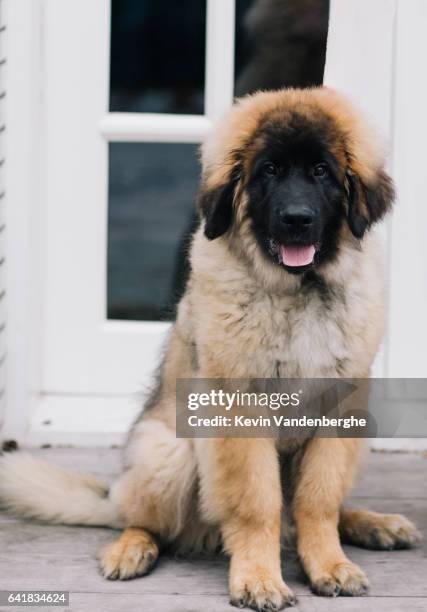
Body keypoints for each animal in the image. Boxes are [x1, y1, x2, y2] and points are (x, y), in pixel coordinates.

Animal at [0, 87, 422, 612]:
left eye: (322, 171)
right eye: (269, 171)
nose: (297, 220)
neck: (297, 294)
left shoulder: (341, 411)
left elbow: (318, 499)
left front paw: (329, 563)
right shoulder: (236, 409)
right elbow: (257, 502)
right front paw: (259, 577)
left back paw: (373, 523)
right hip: (168, 453)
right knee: (143, 520)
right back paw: (131, 549)